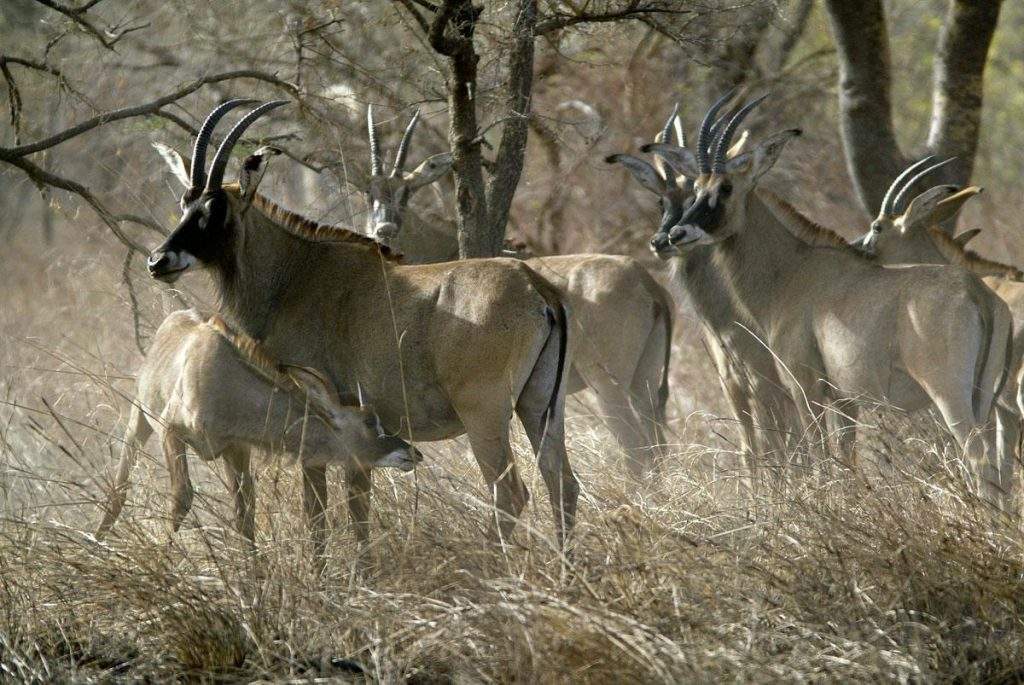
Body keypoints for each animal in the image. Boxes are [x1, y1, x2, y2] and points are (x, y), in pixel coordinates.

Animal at [94, 307, 417, 548]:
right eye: (368, 421)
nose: (412, 453)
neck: (226, 381)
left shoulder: (236, 447)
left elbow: (245, 513)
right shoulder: (171, 431)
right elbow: (181, 498)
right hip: (140, 418)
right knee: (119, 488)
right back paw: (96, 542)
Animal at [145, 101, 581, 548]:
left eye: (215, 210)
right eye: (185, 203)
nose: (159, 261)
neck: (294, 275)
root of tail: (536, 287)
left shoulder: (318, 417)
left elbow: (320, 511)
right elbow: (354, 506)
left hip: (484, 413)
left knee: (509, 493)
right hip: (540, 406)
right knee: (562, 484)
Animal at [364, 106, 675, 479]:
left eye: (406, 191)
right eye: (368, 192)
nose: (384, 230)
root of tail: (646, 281)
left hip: (607, 386)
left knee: (635, 449)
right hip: (644, 382)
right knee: (657, 447)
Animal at [606, 102, 798, 485]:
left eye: (696, 195)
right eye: (661, 201)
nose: (664, 240)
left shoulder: (762, 374)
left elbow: (775, 440)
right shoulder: (731, 377)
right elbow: (751, 447)